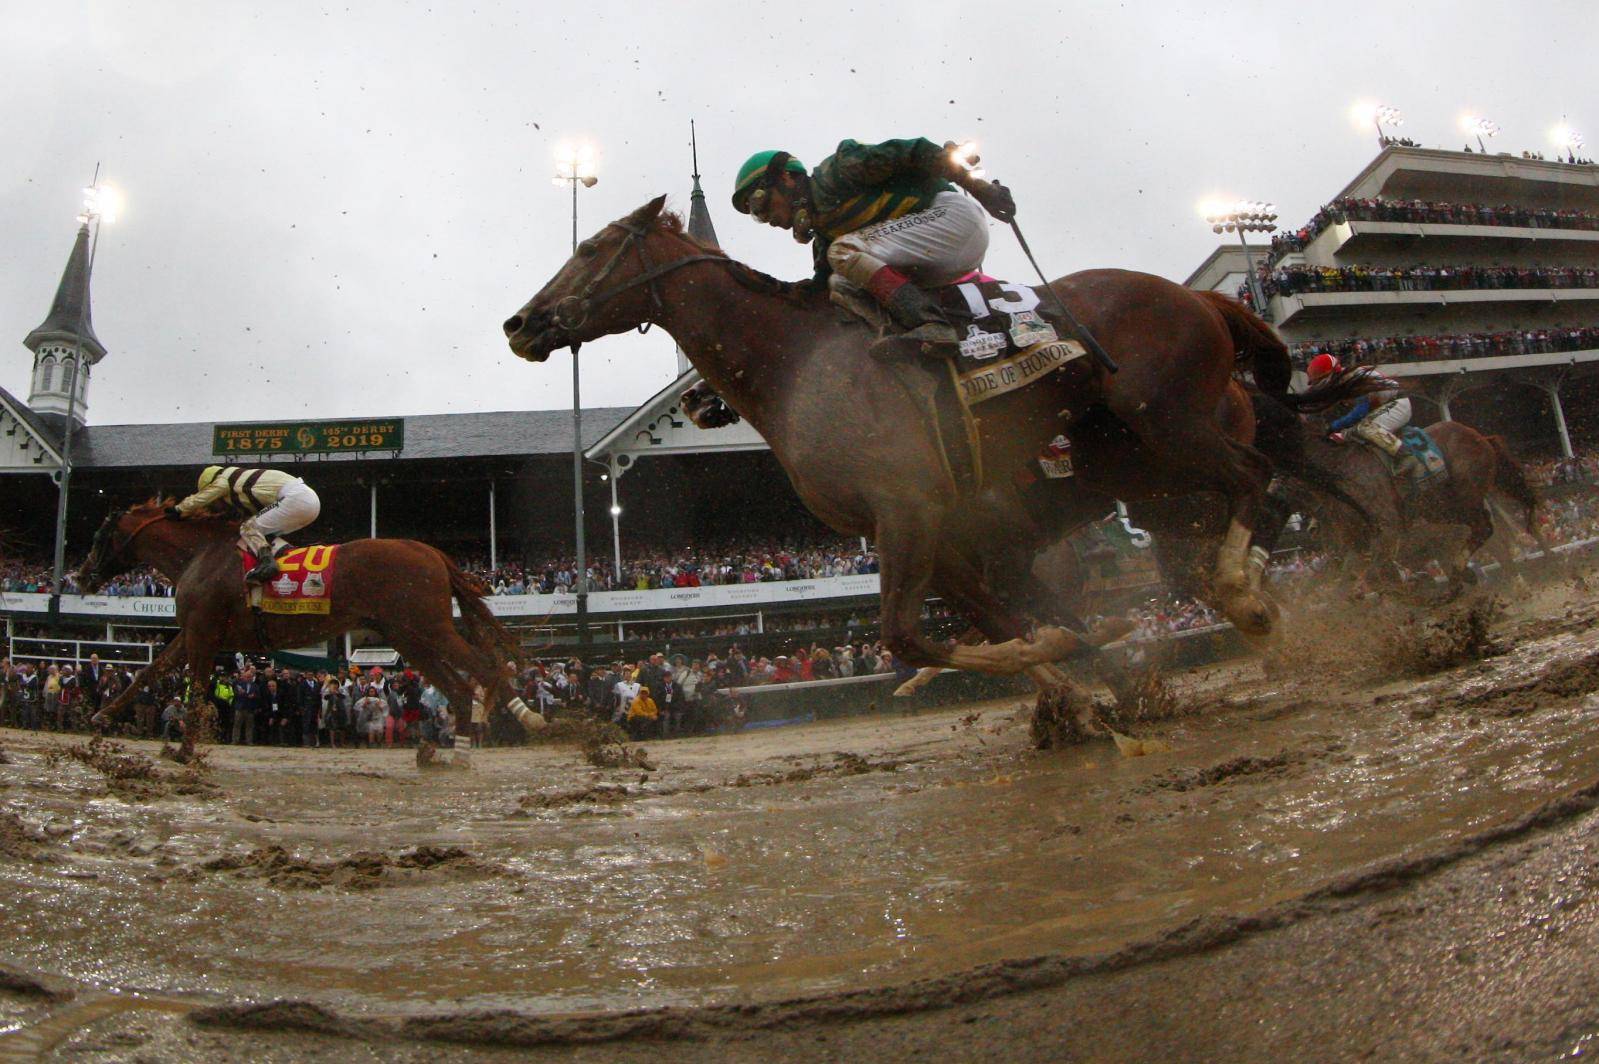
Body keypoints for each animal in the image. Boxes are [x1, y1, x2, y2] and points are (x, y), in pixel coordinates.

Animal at [77, 502, 543, 742]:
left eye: (99, 536)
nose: (80, 576)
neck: (203, 555)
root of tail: (431, 552)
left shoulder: (204, 631)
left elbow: (192, 686)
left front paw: (187, 744)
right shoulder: (195, 630)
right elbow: (151, 670)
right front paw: (101, 717)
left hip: (431, 628)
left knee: (486, 670)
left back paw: (519, 725)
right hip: (408, 636)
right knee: (461, 689)